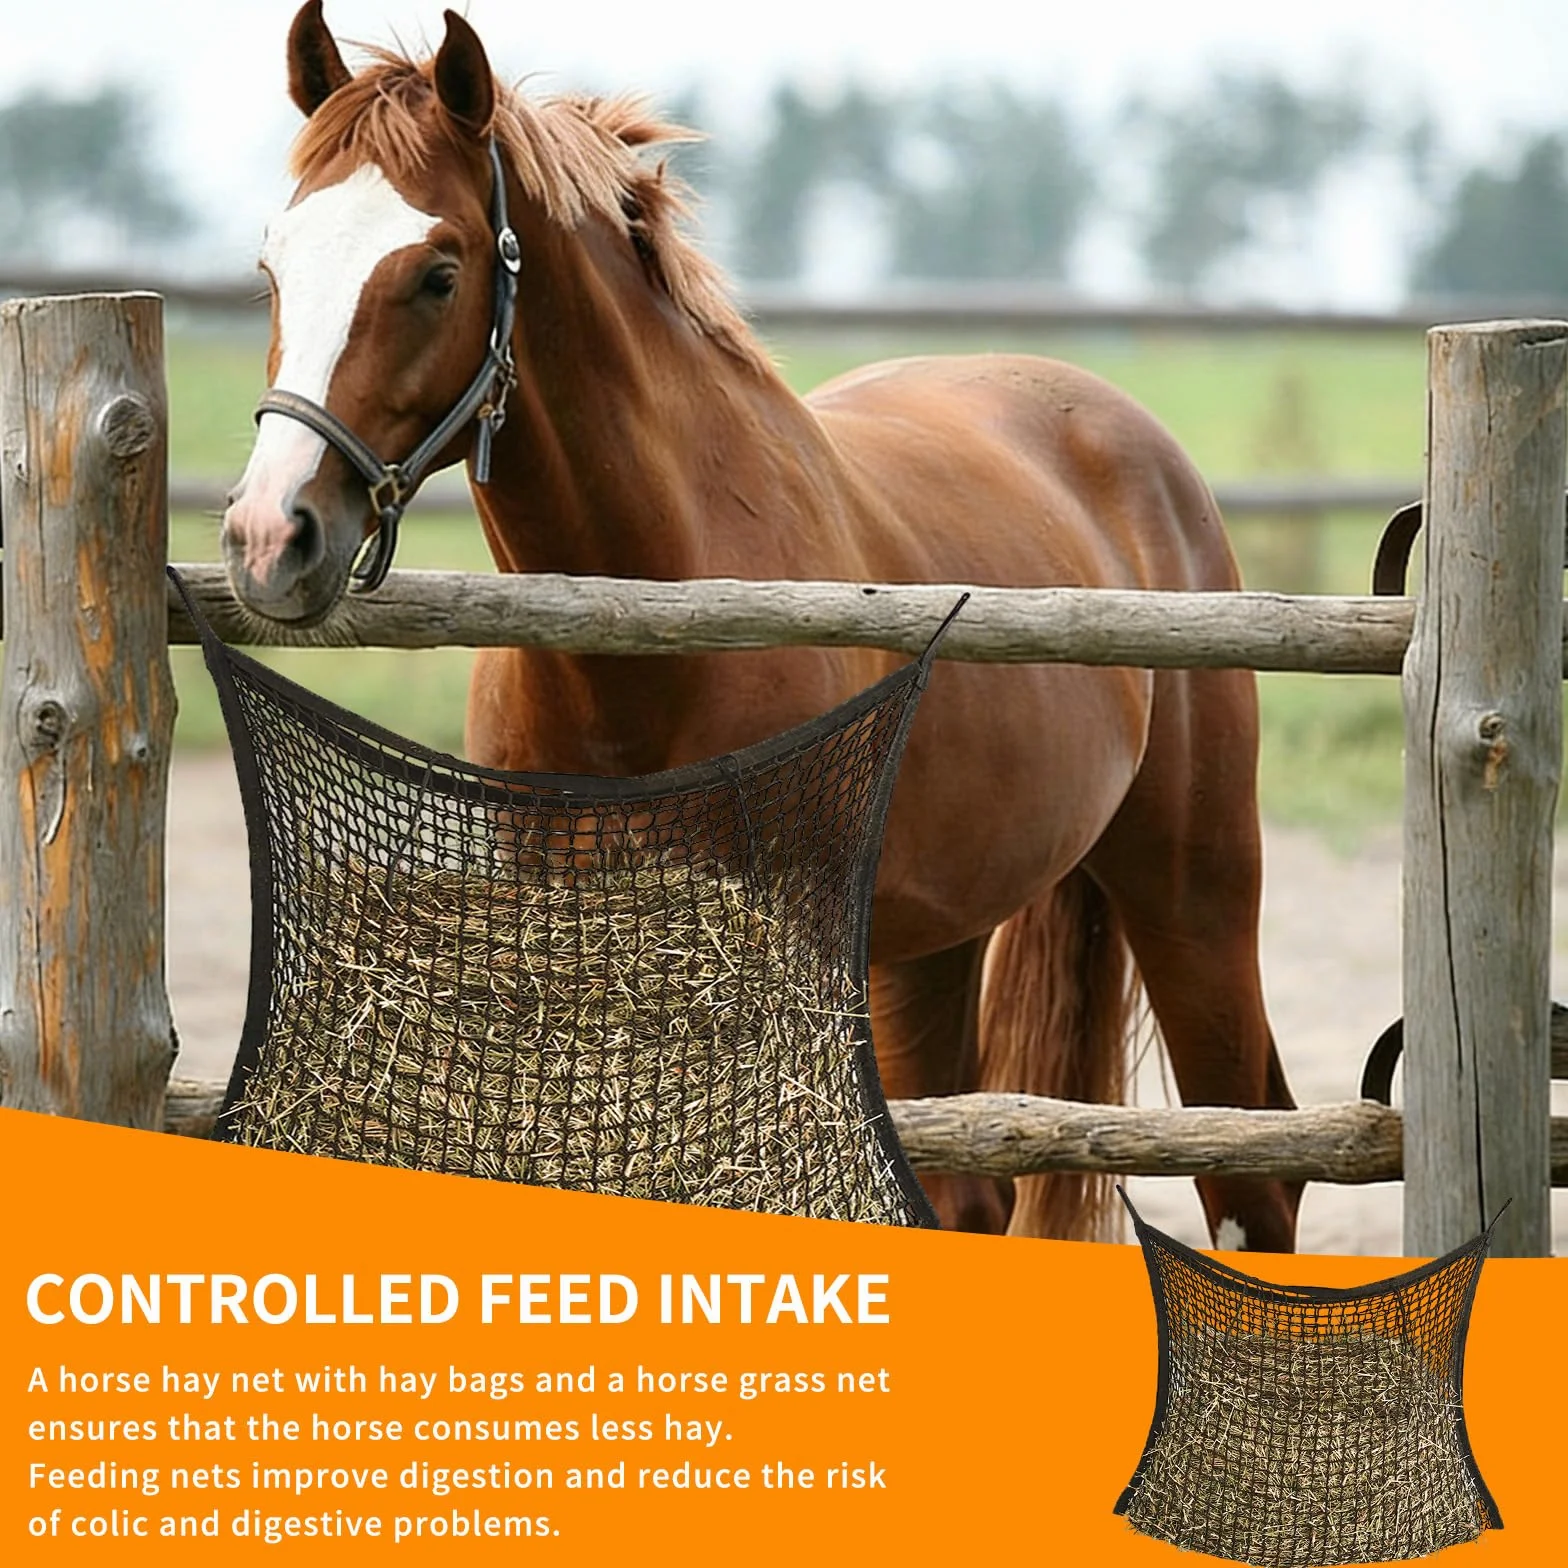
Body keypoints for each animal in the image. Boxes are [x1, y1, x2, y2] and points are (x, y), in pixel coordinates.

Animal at [220, 2, 1302, 1250]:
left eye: (438, 273)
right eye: (272, 263)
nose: (269, 534)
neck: (643, 632)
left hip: (1193, 899)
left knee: (1254, 1171)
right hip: (932, 945)